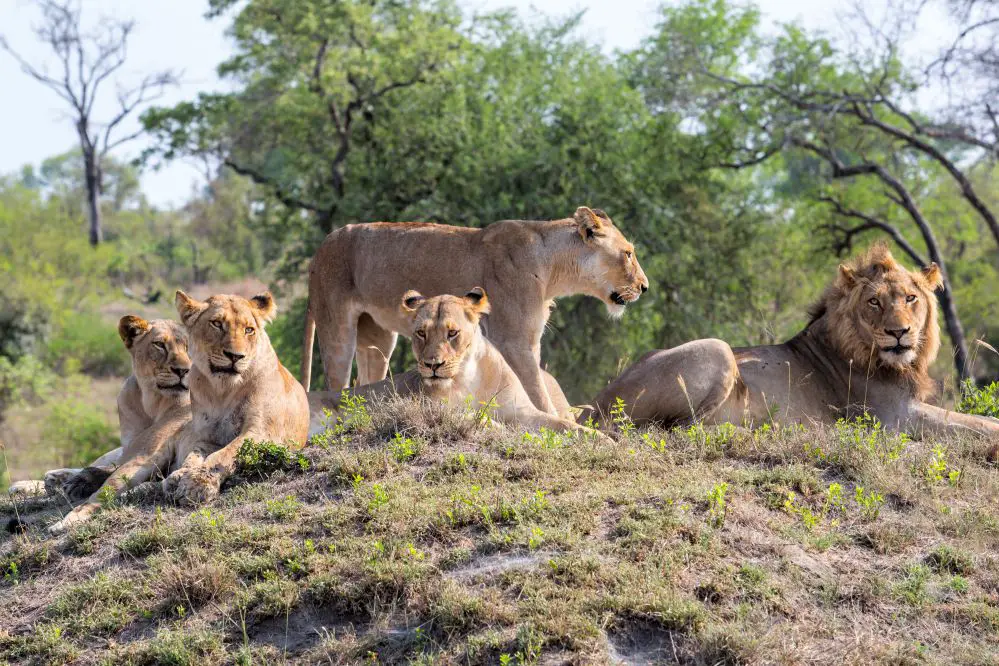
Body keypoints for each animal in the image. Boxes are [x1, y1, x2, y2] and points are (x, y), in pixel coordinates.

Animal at [46, 316, 194, 536]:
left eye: (187, 346)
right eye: (159, 344)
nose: (184, 370)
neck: (152, 403)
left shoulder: (142, 454)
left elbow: (105, 486)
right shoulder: (131, 449)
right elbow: (106, 467)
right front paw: (75, 481)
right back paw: (55, 477)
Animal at [162, 290, 310, 504]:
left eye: (249, 330)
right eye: (216, 324)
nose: (235, 356)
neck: (223, 390)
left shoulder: (262, 431)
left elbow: (224, 454)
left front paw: (198, 483)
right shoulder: (207, 437)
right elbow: (193, 456)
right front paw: (179, 476)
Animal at [302, 205, 648, 412]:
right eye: (628, 253)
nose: (645, 286)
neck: (553, 269)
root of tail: (322, 244)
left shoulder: (528, 341)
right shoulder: (514, 340)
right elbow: (537, 392)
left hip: (378, 338)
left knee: (366, 378)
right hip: (337, 328)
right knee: (336, 380)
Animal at [312, 286, 608, 440]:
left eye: (452, 333)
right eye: (421, 333)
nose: (432, 365)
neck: (468, 376)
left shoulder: (522, 412)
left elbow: (565, 425)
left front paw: (603, 439)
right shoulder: (432, 410)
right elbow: (477, 418)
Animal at [584, 244, 999, 436]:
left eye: (911, 298)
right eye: (874, 302)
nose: (900, 332)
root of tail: (592, 406)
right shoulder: (893, 418)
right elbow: (972, 425)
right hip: (717, 349)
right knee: (678, 429)